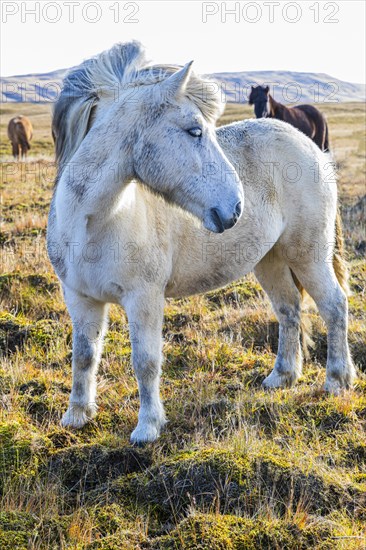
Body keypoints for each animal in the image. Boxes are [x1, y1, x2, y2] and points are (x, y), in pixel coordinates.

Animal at [48, 43, 354, 448]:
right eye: (194, 131)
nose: (236, 207)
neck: (92, 223)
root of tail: (311, 146)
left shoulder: (144, 298)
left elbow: (145, 361)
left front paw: (148, 428)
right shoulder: (80, 298)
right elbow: (83, 356)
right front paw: (77, 417)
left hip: (308, 255)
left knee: (334, 306)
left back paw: (336, 381)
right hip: (269, 260)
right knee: (289, 309)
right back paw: (282, 377)